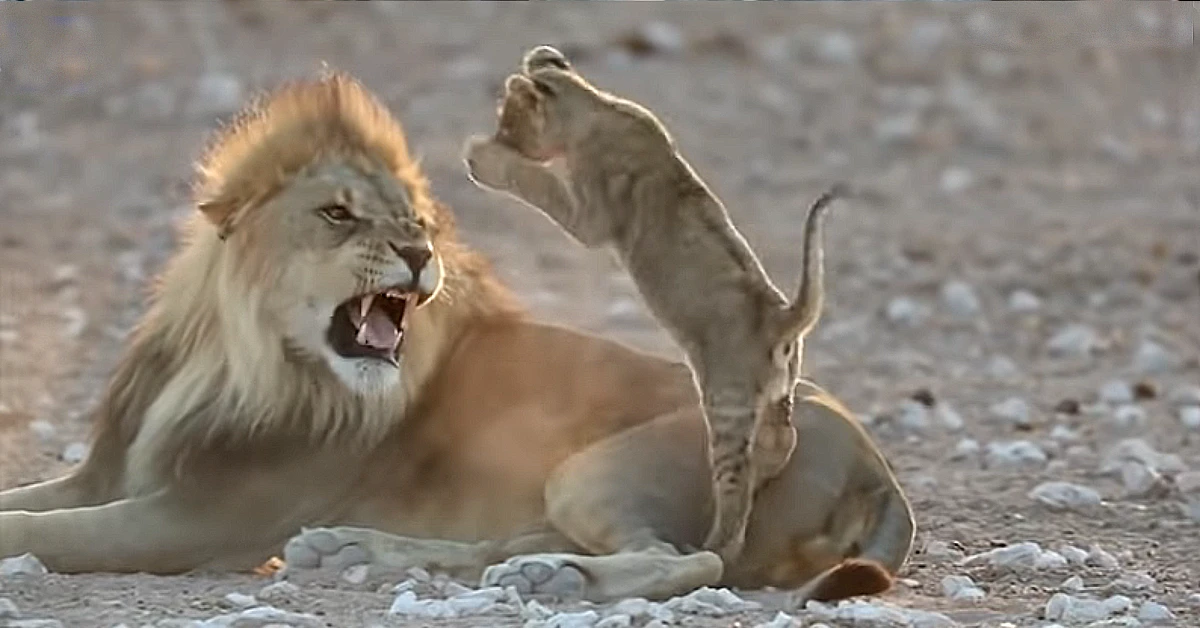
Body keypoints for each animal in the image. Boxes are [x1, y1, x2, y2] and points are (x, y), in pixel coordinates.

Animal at [0, 73, 907, 605]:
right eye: (339, 213)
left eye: (418, 221)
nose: (419, 252)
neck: (228, 354)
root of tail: (877, 468)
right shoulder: (110, 474)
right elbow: (27, 503)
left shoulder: (203, 516)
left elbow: (45, 532)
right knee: (500, 546)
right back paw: (361, 549)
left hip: (606, 469)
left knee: (694, 561)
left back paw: (556, 580)